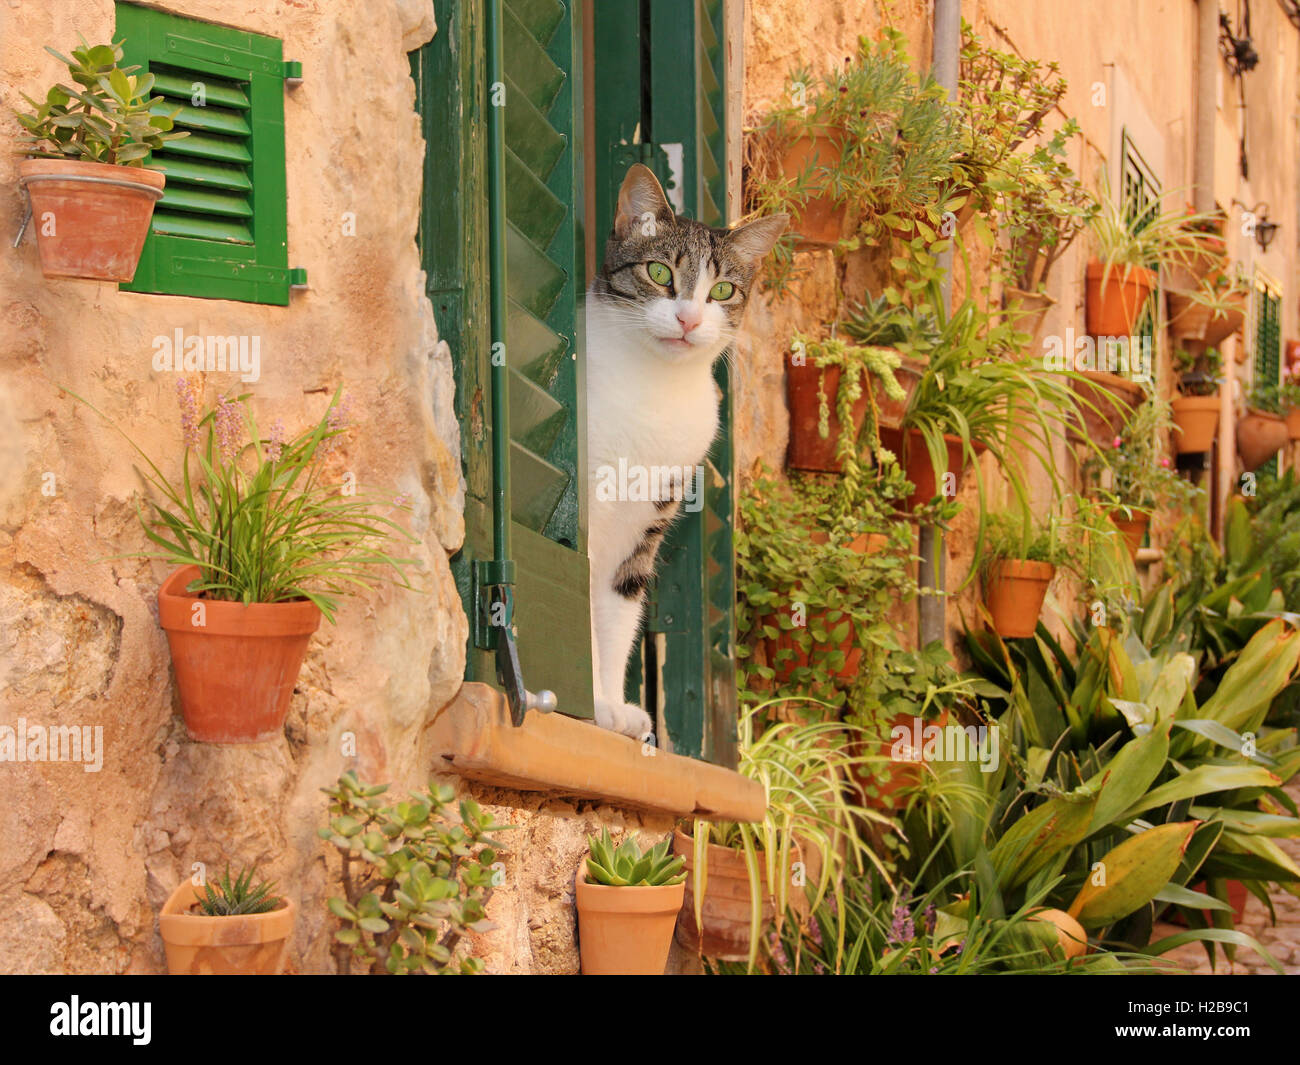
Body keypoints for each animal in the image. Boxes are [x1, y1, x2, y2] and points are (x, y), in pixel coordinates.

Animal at [587, 166, 785, 738]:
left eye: (722, 290)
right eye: (659, 272)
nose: (689, 321)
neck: (656, 388)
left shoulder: (645, 528)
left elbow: (617, 613)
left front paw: (612, 707)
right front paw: (590, 704)